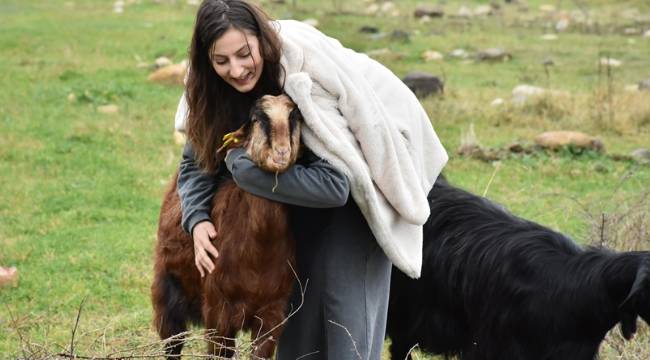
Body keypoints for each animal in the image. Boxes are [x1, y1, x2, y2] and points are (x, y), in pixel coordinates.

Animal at [151, 94, 302, 358]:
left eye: (294, 117)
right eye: (256, 118)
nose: (281, 152)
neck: (259, 252)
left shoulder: (273, 313)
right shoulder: (217, 311)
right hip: (166, 291)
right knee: (172, 343)